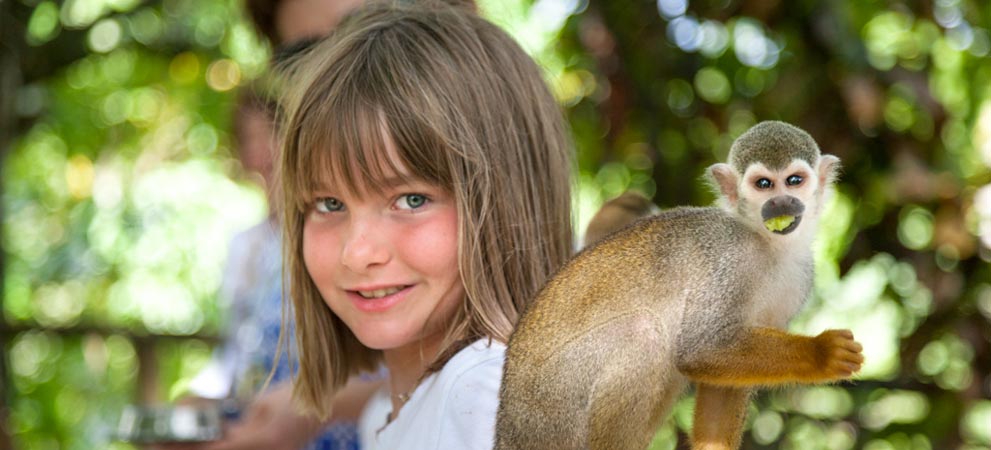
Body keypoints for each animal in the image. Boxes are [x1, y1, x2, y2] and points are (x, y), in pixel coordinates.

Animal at [500, 121, 864, 450]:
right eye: (763, 184)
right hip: (551, 410)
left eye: (794, 181)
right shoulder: (729, 262)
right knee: (643, 334)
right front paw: (821, 353)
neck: (767, 245)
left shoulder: (800, 277)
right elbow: (701, 348)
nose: (781, 204)